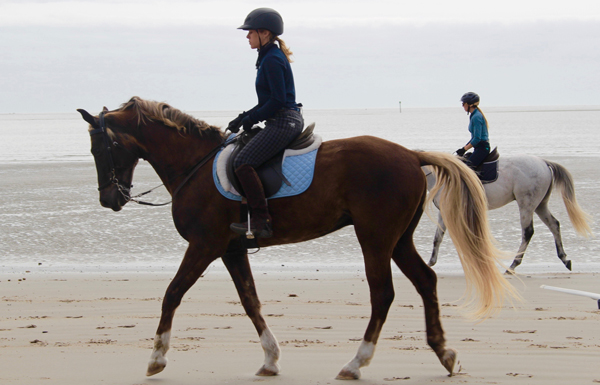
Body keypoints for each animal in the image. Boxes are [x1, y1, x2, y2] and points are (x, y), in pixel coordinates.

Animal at [78, 97, 520, 380]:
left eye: (102, 147)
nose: (109, 199)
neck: (195, 165)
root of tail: (411, 155)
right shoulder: (231, 250)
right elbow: (250, 301)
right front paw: (271, 360)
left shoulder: (204, 245)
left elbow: (172, 293)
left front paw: (156, 357)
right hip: (397, 239)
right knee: (425, 282)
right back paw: (444, 353)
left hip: (375, 238)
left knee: (383, 294)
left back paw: (356, 363)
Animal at [424, 154, 592, 272]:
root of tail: (543, 162)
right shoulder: (444, 212)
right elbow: (438, 237)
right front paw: (431, 262)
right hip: (540, 205)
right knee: (554, 225)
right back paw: (564, 259)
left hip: (526, 205)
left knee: (528, 232)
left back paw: (513, 265)